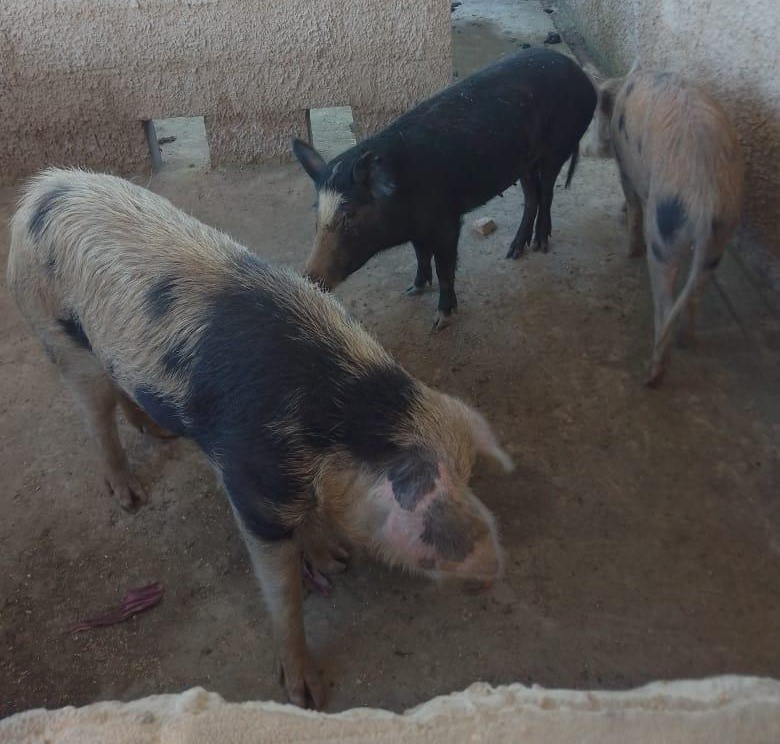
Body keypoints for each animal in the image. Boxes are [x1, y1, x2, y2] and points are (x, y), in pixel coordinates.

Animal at [7, 168, 514, 709]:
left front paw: (335, 561)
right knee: (95, 415)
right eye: (426, 514)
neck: (333, 428)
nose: (492, 572)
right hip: (56, 329)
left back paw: (160, 431)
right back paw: (131, 497)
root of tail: (39, 192)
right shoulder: (254, 490)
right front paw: (306, 693)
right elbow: (283, 594)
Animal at [293, 47, 597, 328]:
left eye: (349, 214)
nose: (309, 278)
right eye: (317, 212)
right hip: (525, 163)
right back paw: (513, 251)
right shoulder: (418, 228)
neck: (404, 193)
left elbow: (445, 268)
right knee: (532, 197)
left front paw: (440, 320)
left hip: (558, 148)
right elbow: (420, 255)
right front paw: (412, 290)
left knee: (547, 193)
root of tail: (582, 76)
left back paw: (540, 245)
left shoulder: (447, 222)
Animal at [590, 64, 744, 385]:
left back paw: (652, 375)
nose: (588, 148)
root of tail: (705, 198)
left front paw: (628, 246)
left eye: (596, 114)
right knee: (696, 293)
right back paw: (687, 342)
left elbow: (632, 202)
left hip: (665, 232)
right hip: (722, 231)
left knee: (664, 301)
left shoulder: (625, 164)